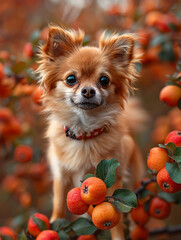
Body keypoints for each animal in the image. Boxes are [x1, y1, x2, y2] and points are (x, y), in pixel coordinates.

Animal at [36, 25, 144, 240]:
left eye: (104, 80)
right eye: (71, 79)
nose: (88, 90)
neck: (84, 132)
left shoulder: (114, 178)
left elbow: (114, 213)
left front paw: (118, 236)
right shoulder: (61, 175)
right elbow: (59, 205)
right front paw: (53, 225)